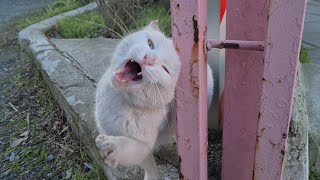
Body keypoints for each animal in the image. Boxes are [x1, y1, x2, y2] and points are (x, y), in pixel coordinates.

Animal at [95, 20, 215, 179]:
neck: (123, 103)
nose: (149, 59)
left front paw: (113, 148)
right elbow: (149, 165)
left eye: (165, 69)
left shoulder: (144, 145)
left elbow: (133, 151)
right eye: (150, 43)